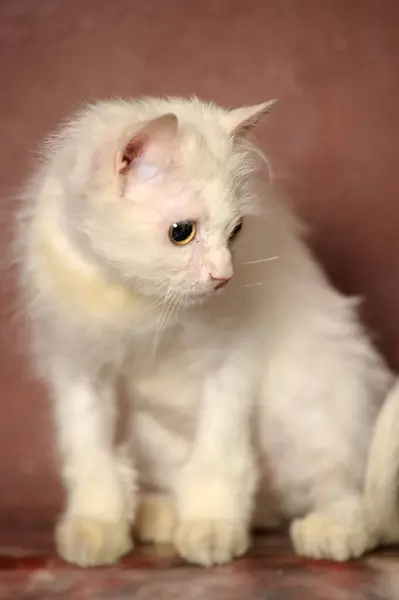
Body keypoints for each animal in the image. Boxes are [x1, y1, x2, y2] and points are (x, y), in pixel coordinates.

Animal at [17, 95, 392, 568]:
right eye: (182, 233)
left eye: (236, 231)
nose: (223, 276)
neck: (136, 305)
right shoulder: (79, 372)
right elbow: (91, 458)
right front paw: (96, 528)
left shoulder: (231, 365)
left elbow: (218, 459)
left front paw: (211, 530)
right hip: (151, 428)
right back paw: (160, 517)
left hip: (306, 401)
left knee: (346, 494)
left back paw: (331, 533)